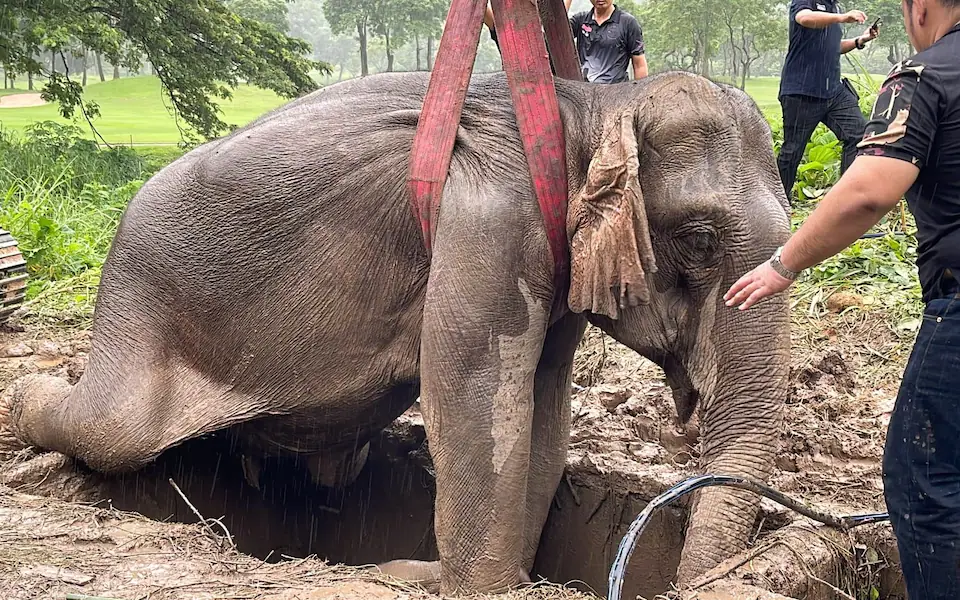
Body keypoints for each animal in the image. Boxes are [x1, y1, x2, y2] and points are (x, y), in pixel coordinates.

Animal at [0, 70, 788, 596]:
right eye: (698, 240)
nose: (694, 582)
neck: (590, 105)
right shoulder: (491, 224)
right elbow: (475, 396)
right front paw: (474, 585)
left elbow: (543, 402)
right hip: (140, 309)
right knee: (114, 428)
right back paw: (23, 403)